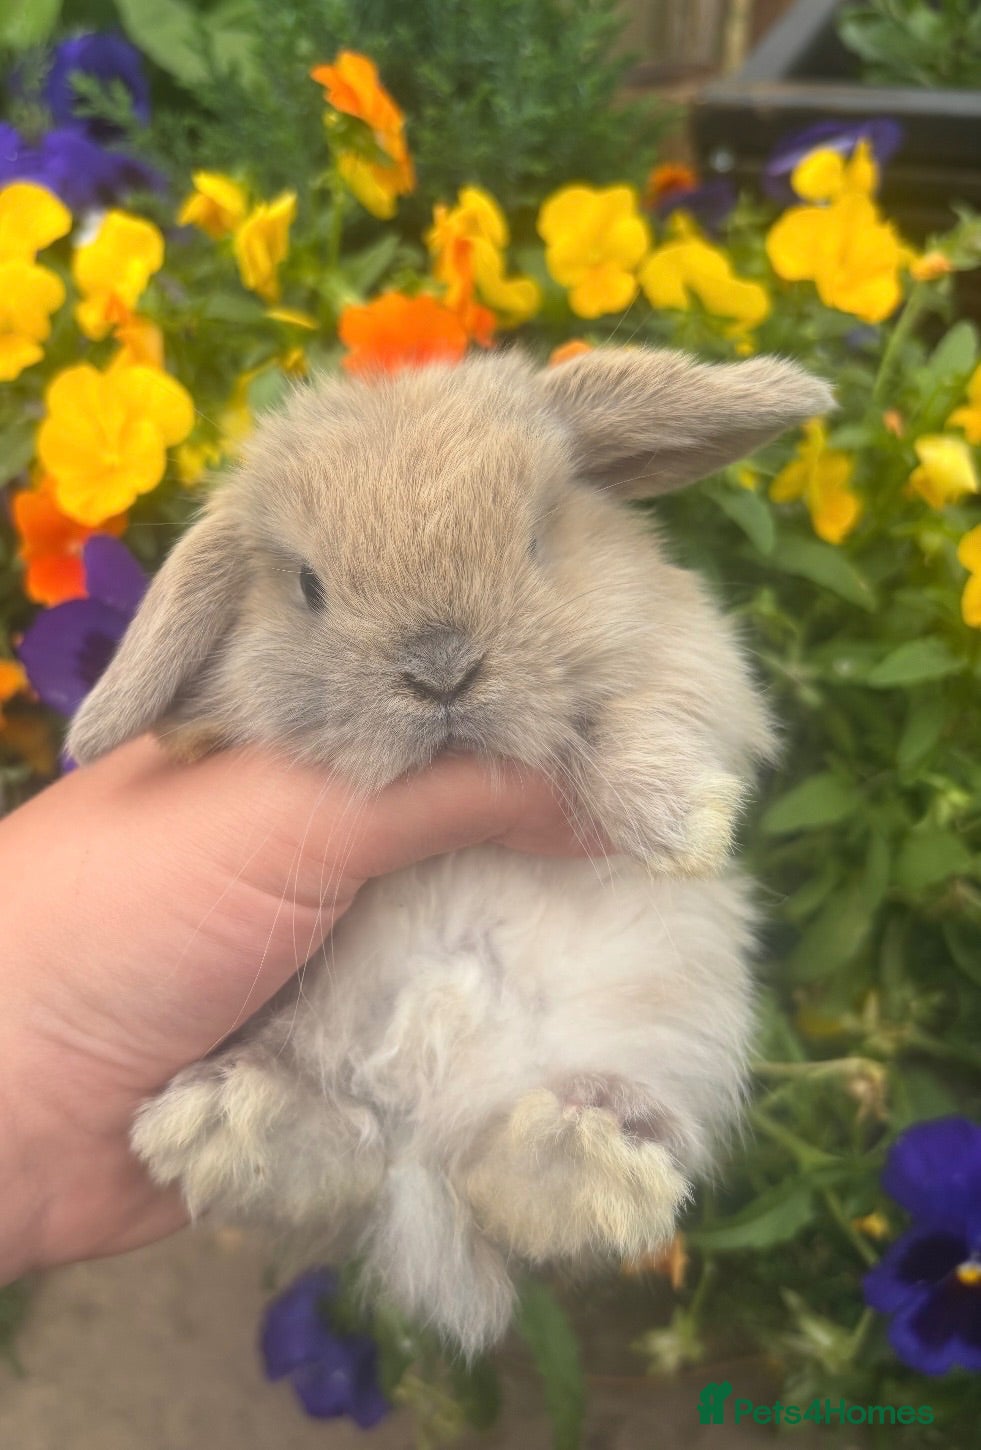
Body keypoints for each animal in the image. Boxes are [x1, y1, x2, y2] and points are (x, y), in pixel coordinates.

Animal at [68, 346, 833, 1355]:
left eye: (538, 542)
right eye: (308, 586)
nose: (440, 668)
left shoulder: (699, 672)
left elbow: (631, 718)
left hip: (658, 1048)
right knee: (340, 1149)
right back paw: (222, 1124)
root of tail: (426, 1142)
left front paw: (682, 820)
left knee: (515, 1174)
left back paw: (585, 1158)